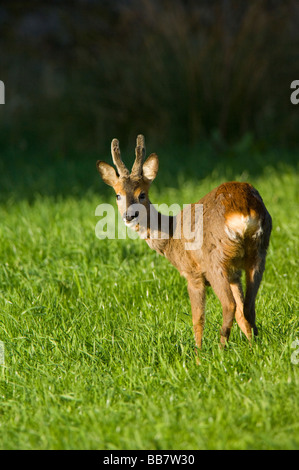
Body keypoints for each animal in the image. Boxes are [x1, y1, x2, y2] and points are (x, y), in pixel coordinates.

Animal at [96, 134, 272, 350]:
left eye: (142, 194)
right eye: (117, 195)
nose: (129, 216)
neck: (171, 237)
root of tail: (243, 208)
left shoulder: (192, 273)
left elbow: (198, 319)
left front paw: (198, 353)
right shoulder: (235, 274)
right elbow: (241, 312)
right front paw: (250, 345)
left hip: (215, 259)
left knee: (229, 305)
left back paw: (221, 349)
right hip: (259, 251)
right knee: (247, 306)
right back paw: (254, 345)